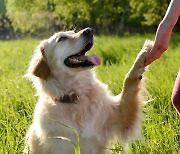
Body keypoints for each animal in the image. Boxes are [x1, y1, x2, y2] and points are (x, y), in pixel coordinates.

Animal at [24, 28, 153, 154]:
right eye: (62, 38)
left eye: (74, 32)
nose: (89, 30)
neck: (77, 97)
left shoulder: (121, 117)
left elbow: (128, 81)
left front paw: (144, 53)